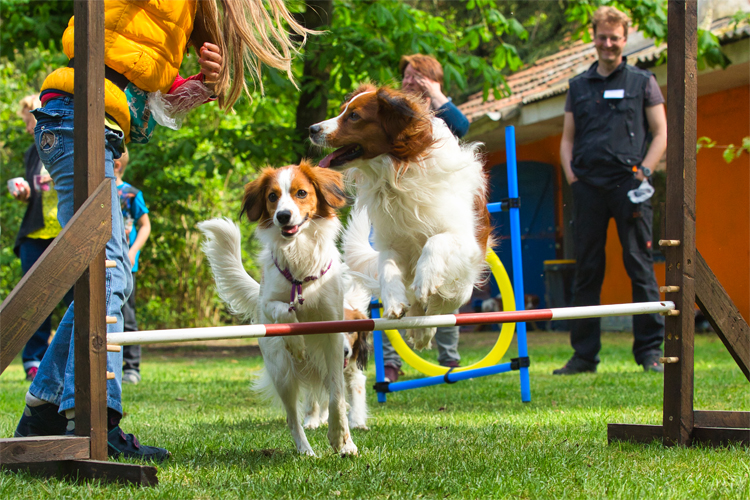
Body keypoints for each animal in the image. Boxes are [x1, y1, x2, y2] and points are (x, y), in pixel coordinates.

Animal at [197, 161, 362, 458]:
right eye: (272, 196)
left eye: (301, 192)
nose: (283, 216)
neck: (299, 256)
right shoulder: (268, 303)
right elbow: (286, 311)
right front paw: (296, 342)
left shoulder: (333, 333)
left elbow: (336, 398)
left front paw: (339, 438)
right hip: (282, 373)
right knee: (292, 418)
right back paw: (305, 450)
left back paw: (347, 443)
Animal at [308, 84, 496, 350]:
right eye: (343, 110)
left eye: (354, 116)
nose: (312, 129)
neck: (397, 174)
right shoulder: (392, 243)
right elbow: (387, 268)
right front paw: (394, 301)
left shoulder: (463, 239)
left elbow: (435, 242)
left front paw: (425, 278)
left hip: (463, 285)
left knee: (442, 305)